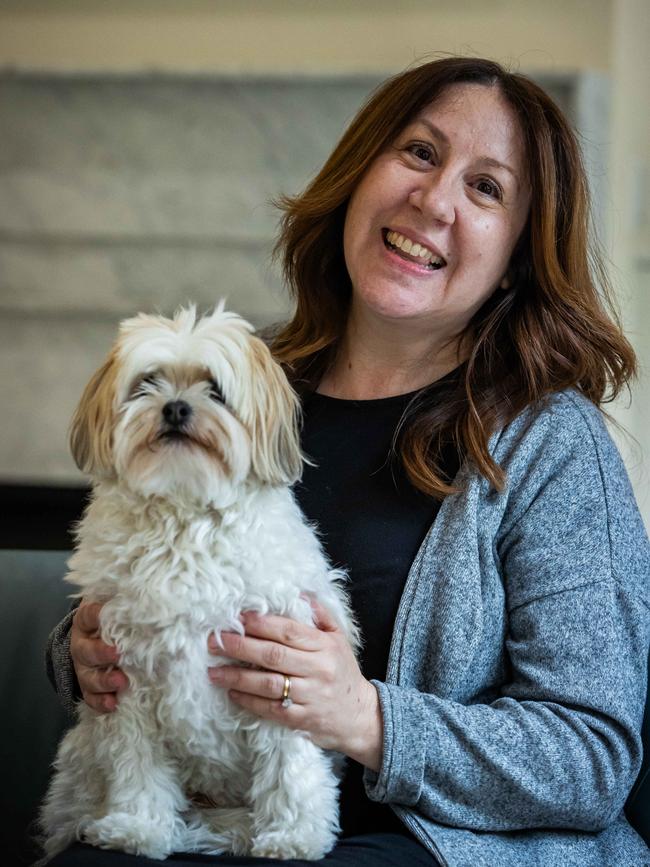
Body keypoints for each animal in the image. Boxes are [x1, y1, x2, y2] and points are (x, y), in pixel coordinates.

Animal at [39, 304, 360, 860]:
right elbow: (137, 765)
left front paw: (294, 834)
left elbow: (288, 762)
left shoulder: (278, 660)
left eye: (214, 388)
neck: (183, 511)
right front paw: (137, 827)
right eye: (148, 382)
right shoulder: (127, 678)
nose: (175, 409)